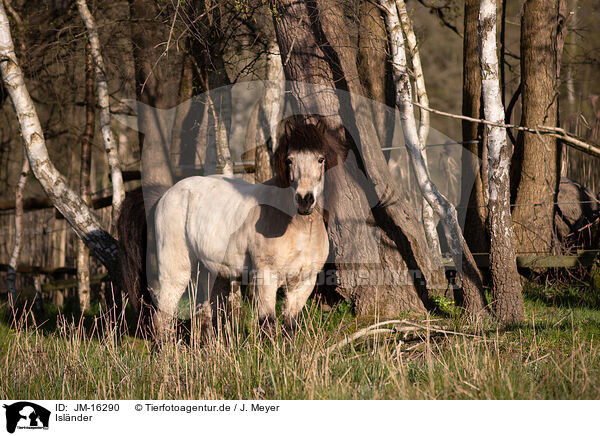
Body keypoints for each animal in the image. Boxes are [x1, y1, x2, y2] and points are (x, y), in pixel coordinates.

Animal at [118, 117, 342, 338]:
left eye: (320, 159)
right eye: (290, 160)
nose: (304, 199)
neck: (298, 228)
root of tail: (165, 196)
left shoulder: (303, 283)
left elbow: (290, 326)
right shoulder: (266, 278)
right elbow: (267, 324)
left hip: (209, 273)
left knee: (205, 316)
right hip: (176, 273)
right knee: (163, 318)